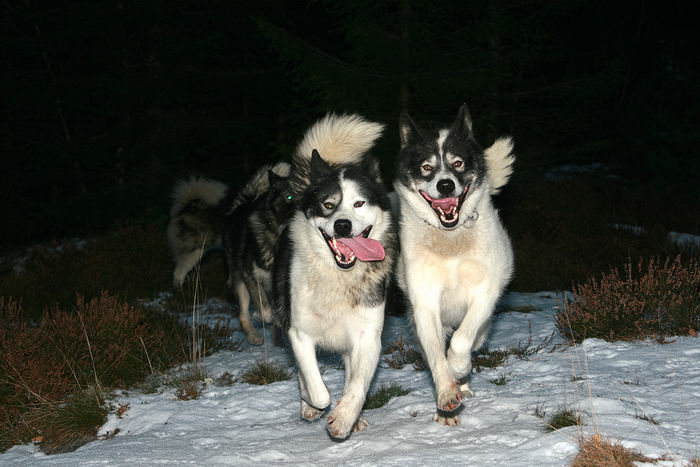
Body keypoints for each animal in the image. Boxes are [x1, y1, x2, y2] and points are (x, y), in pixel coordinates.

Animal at [167, 163, 292, 346]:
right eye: (289, 196)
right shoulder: (250, 275)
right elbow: (265, 310)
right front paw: (264, 317)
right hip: (227, 271)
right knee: (242, 315)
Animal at [272, 113, 396, 438]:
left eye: (359, 203)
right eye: (328, 204)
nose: (342, 225)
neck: (337, 277)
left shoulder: (368, 338)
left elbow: (357, 385)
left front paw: (344, 418)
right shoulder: (299, 334)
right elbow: (317, 390)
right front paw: (314, 406)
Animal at [394, 104, 516, 426]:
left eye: (458, 163)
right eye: (426, 167)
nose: (445, 184)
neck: (450, 240)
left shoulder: (485, 294)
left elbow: (461, 342)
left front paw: (459, 369)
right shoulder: (424, 304)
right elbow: (437, 357)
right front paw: (447, 394)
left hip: (483, 326)